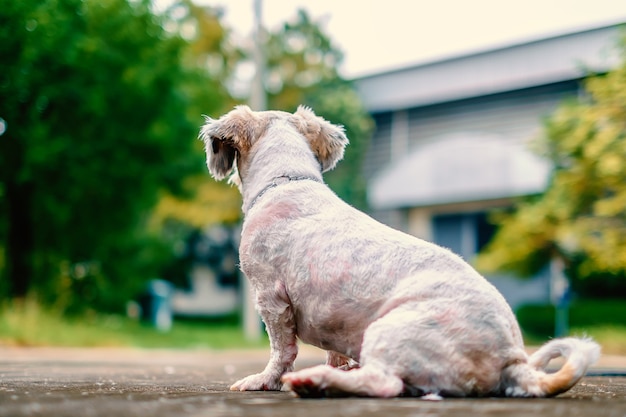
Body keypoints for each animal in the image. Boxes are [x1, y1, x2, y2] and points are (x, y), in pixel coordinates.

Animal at [200, 104, 600, 396]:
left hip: (390, 329)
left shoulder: (272, 299)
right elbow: (332, 351)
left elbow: (281, 350)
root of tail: (512, 358)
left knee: (385, 384)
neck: (287, 181)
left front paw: (264, 380)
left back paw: (317, 382)